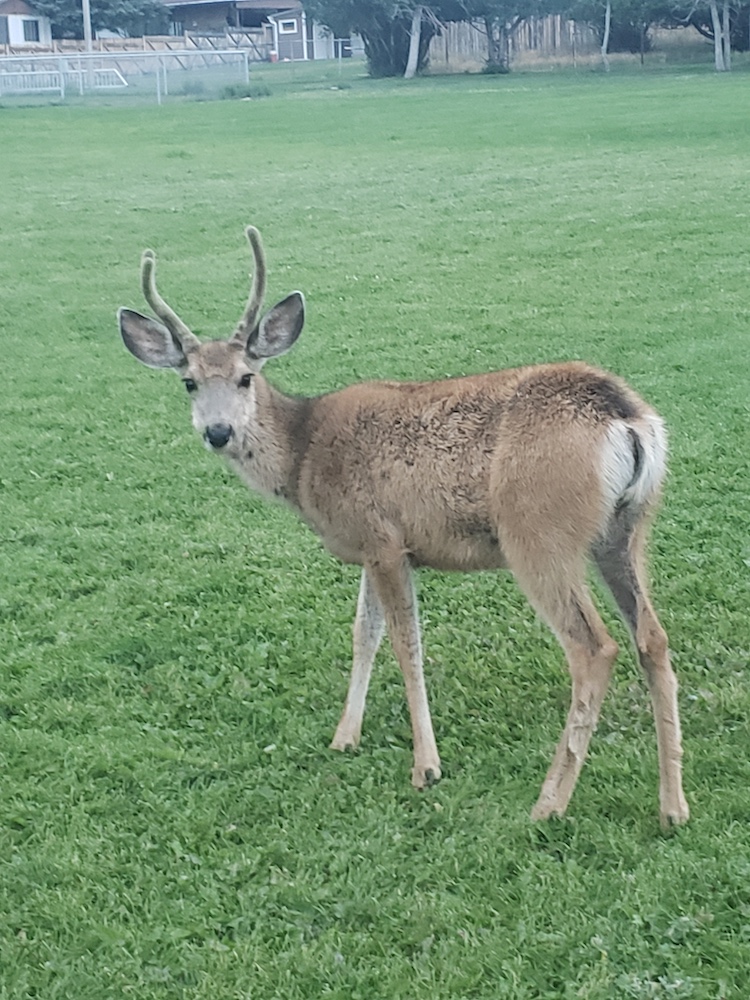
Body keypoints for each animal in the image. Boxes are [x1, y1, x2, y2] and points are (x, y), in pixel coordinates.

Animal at [120, 227, 692, 828]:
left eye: (245, 376)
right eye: (188, 382)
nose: (218, 431)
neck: (303, 456)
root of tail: (628, 419)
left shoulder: (385, 541)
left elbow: (404, 643)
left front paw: (426, 767)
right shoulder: (373, 547)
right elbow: (362, 634)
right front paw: (344, 737)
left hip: (538, 532)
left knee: (593, 647)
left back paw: (548, 803)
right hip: (626, 529)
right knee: (651, 636)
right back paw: (673, 807)